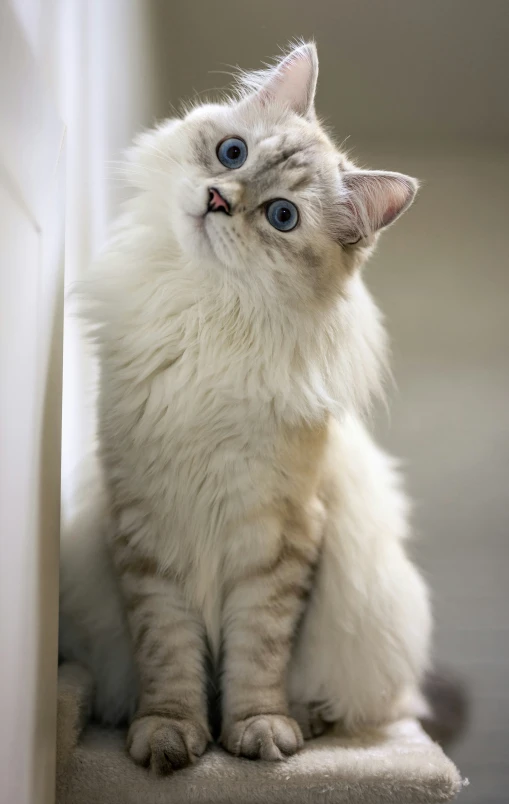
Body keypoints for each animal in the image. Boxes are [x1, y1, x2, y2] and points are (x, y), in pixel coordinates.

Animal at [59, 42, 432, 772]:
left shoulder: (278, 539)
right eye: (231, 153)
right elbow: (169, 657)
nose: (216, 199)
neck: (206, 319)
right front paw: (170, 737)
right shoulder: (147, 529)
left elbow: (257, 659)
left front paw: (256, 735)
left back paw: (307, 723)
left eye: (281, 216)